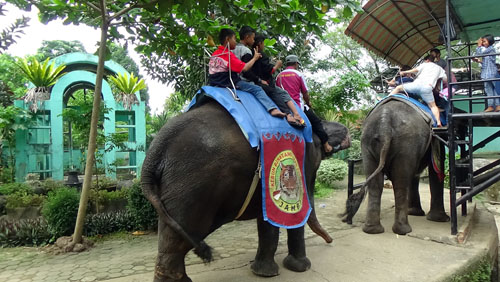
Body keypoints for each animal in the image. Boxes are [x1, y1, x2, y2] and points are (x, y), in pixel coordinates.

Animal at [142, 100, 352, 280]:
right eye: (319, 159)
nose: (330, 241)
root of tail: (156, 148)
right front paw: (300, 267)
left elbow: (267, 219)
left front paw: (263, 272)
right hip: (191, 186)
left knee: (170, 238)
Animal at [342, 98, 448, 235]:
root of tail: (385, 120)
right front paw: (440, 219)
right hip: (407, 143)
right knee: (401, 182)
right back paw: (403, 230)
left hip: (366, 142)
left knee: (375, 184)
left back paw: (372, 230)